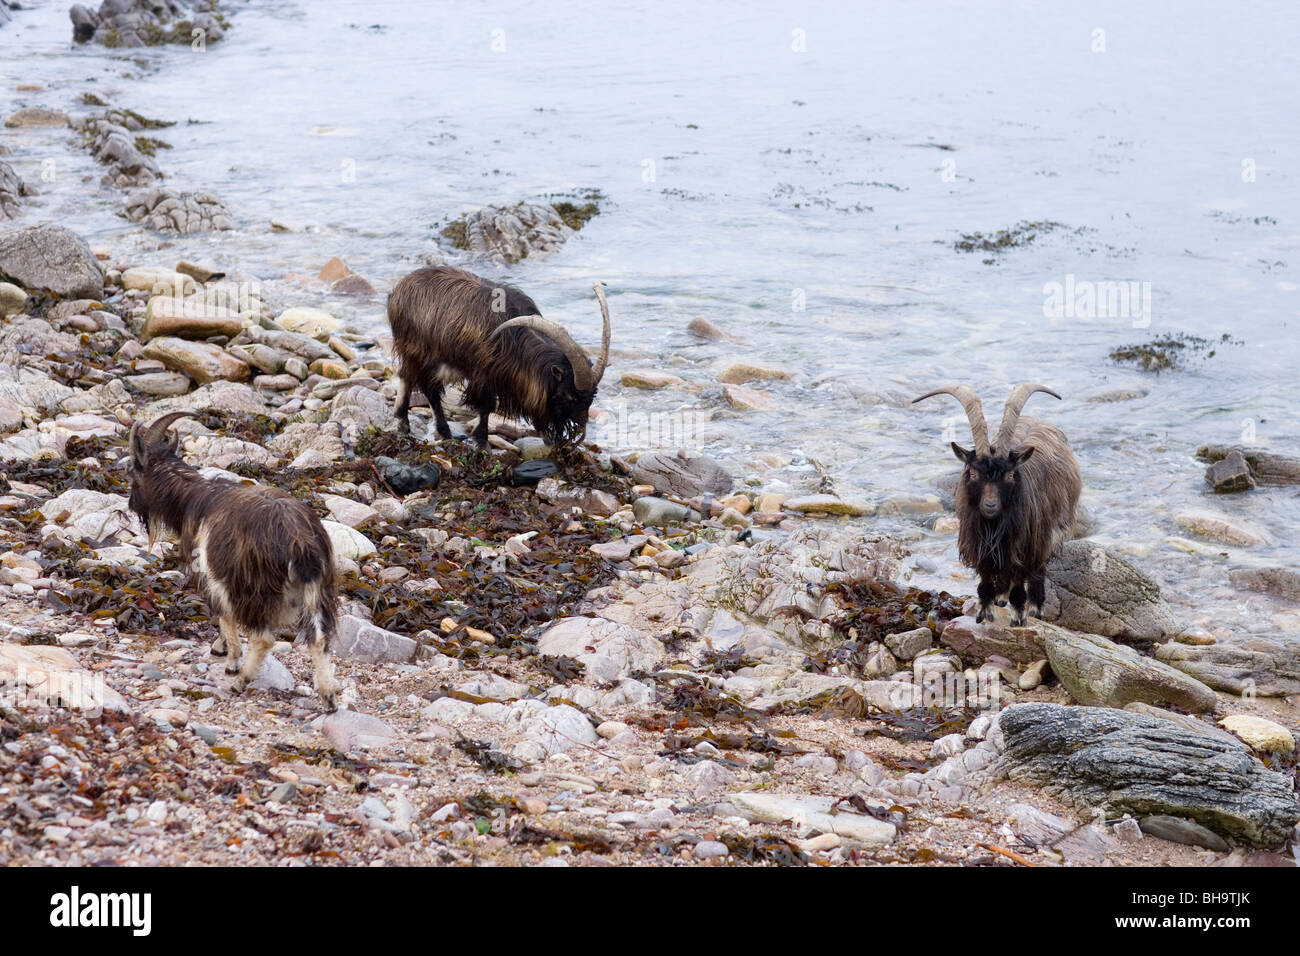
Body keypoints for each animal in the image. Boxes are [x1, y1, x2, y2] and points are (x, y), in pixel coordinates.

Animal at [125, 411, 340, 712]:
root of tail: (300, 542)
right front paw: (221, 647)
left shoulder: (212, 573)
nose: (132, 505)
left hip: (254, 587)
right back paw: (329, 696)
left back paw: (241, 681)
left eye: (133, 471)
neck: (192, 498)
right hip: (318, 589)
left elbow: (222, 613)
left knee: (263, 637)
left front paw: (229, 657)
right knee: (319, 639)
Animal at [382, 265, 611, 447]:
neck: (514, 342)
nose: (580, 430)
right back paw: (421, 427)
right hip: (418, 350)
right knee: (424, 385)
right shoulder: (483, 374)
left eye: (592, 397)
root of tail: (398, 290)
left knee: (409, 377)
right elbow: (486, 407)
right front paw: (482, 444)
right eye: (569, 396)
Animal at [909, 382, 1081, 629]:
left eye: (1009, 475)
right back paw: (1000, 598)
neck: (993, 525)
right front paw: (984, 613)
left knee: (1037, 573)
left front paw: (1018, 617)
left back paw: (1035, 608)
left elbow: (1020, 585)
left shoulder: (1024, 546)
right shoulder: (979, 546)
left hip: (1048, 533)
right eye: (973, 473)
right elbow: (985, 581)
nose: (990, 505)